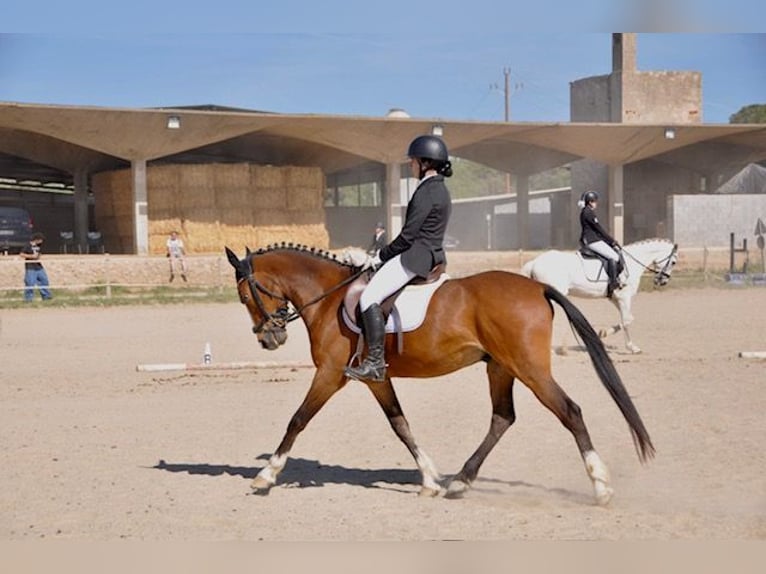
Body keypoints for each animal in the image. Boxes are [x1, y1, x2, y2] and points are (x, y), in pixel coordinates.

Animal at [225, 243, 654, 505]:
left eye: (245, 296)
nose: (269, 339)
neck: (330, 298)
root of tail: (538, 288)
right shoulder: (376, 378)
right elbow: (401, 425)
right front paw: (430, 480)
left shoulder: (331, 374)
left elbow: (297, 420)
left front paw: (265, 475)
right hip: (500, 367)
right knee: (503, 417)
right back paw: (459, 480)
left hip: (529, 368)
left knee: (570, 411)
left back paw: (600, 486)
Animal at [521, 238, 678, 354]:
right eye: (673, 262)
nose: (662, 281)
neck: (631, 263)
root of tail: (534, 262)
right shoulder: (624, 297)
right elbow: (627, 320)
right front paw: (607, 336)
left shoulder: (616, 299)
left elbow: (626, 319)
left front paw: (625, 344)